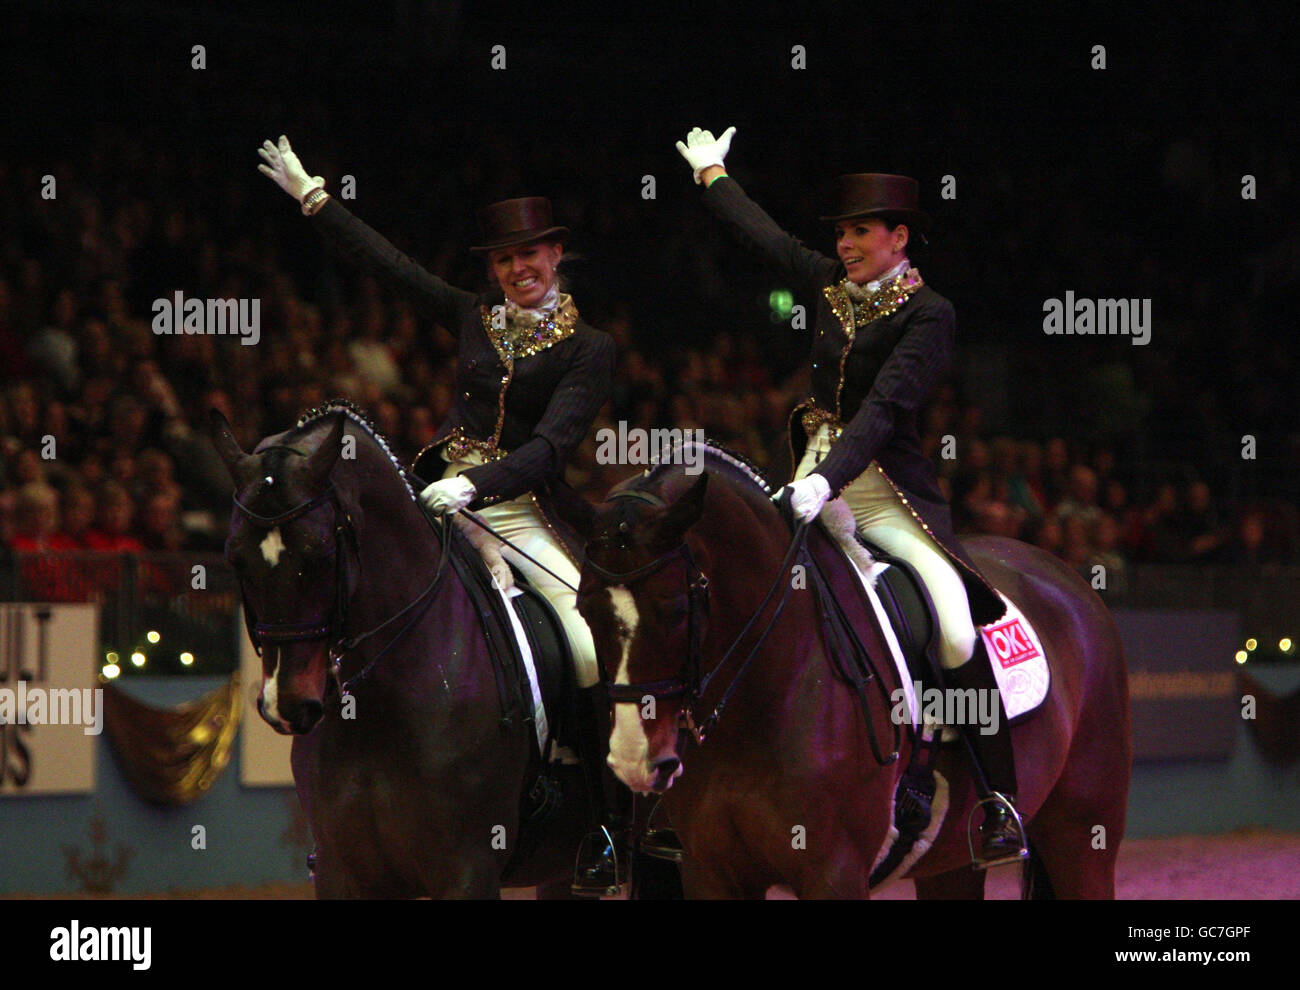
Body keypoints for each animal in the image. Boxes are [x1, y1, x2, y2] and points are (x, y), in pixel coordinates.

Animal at [574, 444, 1133, 899]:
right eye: (584, 611)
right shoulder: (711, 873)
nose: (633, 761)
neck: (764, 694)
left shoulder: (833, 872)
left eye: (674, 610)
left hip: (1082, 835)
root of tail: (1067, 577)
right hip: (952, 861)